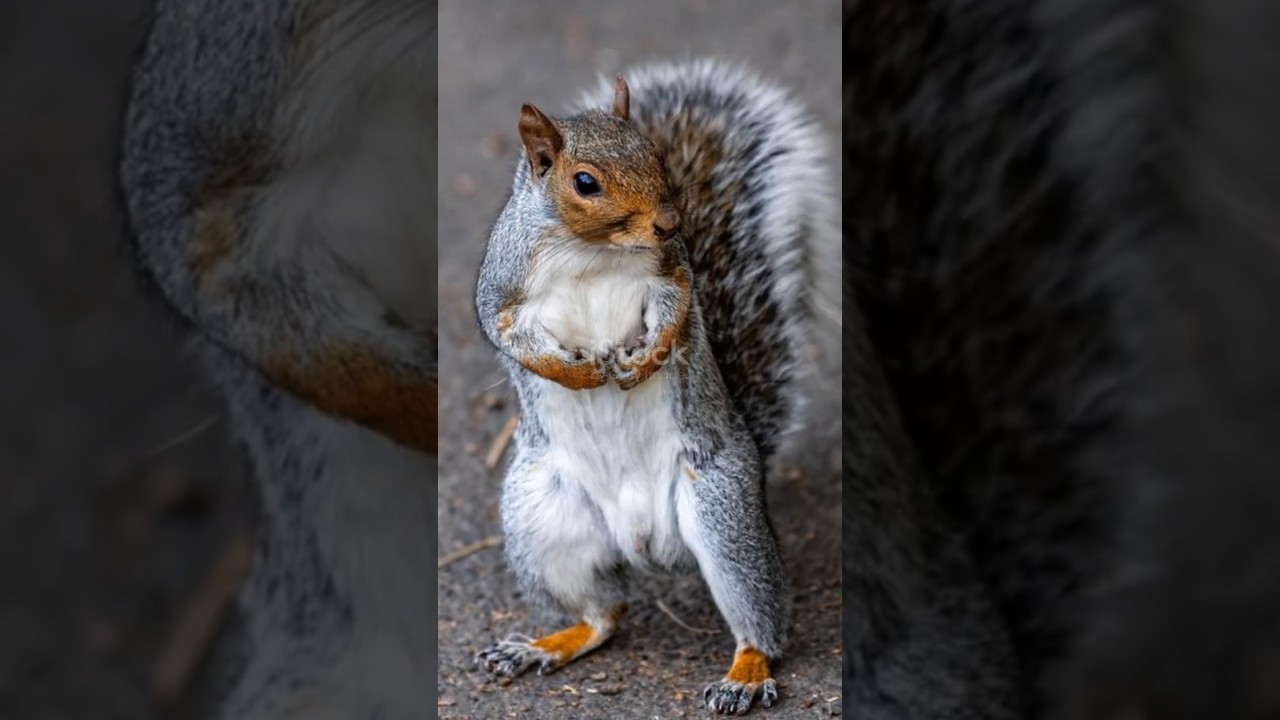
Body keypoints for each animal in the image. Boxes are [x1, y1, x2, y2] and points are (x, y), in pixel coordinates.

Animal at [472, 59, 840, 715]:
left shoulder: (672, 273)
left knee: (758, 618)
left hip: (721, 514)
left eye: (657, 155)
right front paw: (581, 372)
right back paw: (542, 646)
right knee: (603, 614)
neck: (590, 251)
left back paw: (745, 675)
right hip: (542, 520)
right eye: (584, 182)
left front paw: (640, 364)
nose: (671, 222)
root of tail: (642, 540)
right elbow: (508, 334)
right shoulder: (502, 289)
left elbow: (674, 314)